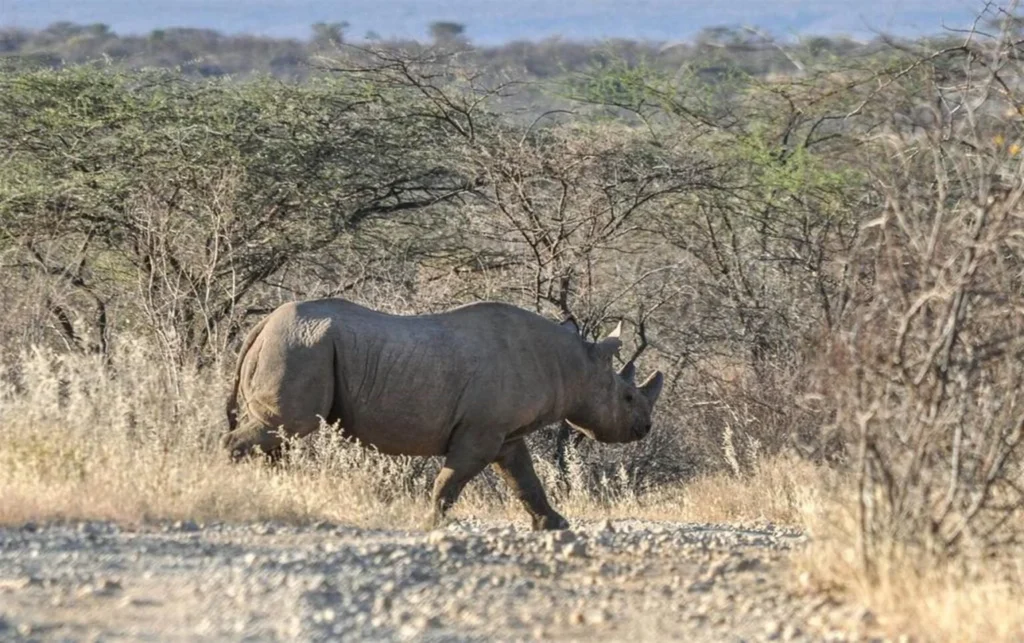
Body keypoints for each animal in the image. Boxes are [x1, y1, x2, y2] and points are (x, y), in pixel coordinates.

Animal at [221, 297, 665, 531]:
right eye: (628, 398)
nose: (644, 428)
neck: (575, 365)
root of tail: (262, 324)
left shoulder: (505, 435)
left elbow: (525, 480)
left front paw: (555, 525)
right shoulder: (481, 432)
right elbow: (451, 480)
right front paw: (433, 524)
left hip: (299, 346)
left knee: (280, 435)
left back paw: (274, 491)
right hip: (301, 347)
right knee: (287, 427)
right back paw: (234, 483)